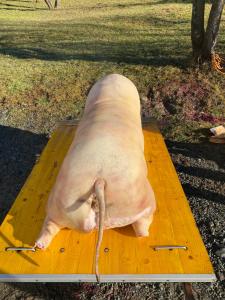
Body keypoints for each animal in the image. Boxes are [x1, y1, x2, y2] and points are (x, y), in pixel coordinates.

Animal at [36, 74, 157, 280]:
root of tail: (99, 180)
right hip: (143, 200)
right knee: (141, 228)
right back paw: (146, 232)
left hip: (61, 203)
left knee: (50, 224)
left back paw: (39, 245)